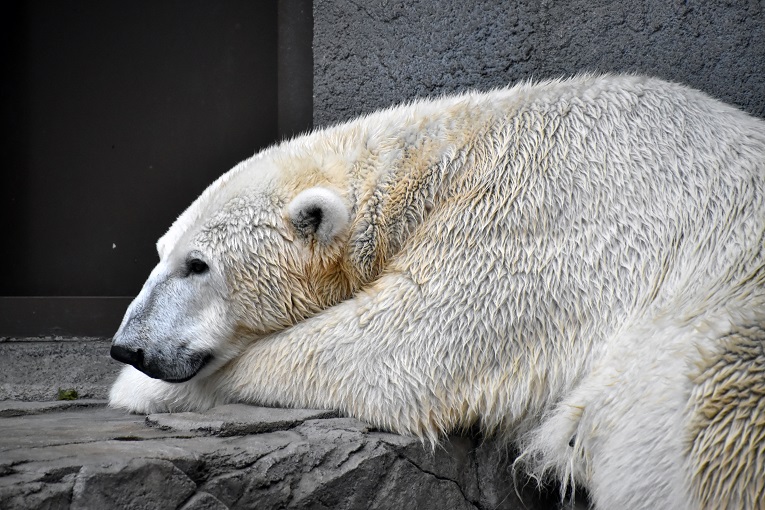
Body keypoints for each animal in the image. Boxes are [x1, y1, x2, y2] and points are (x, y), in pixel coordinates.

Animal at [109, 73, 764, 508]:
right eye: (162, 253)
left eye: (198, 265)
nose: (128, 346)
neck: (449, 157)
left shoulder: (533, 219)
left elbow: (397, 348)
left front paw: (137, 391)